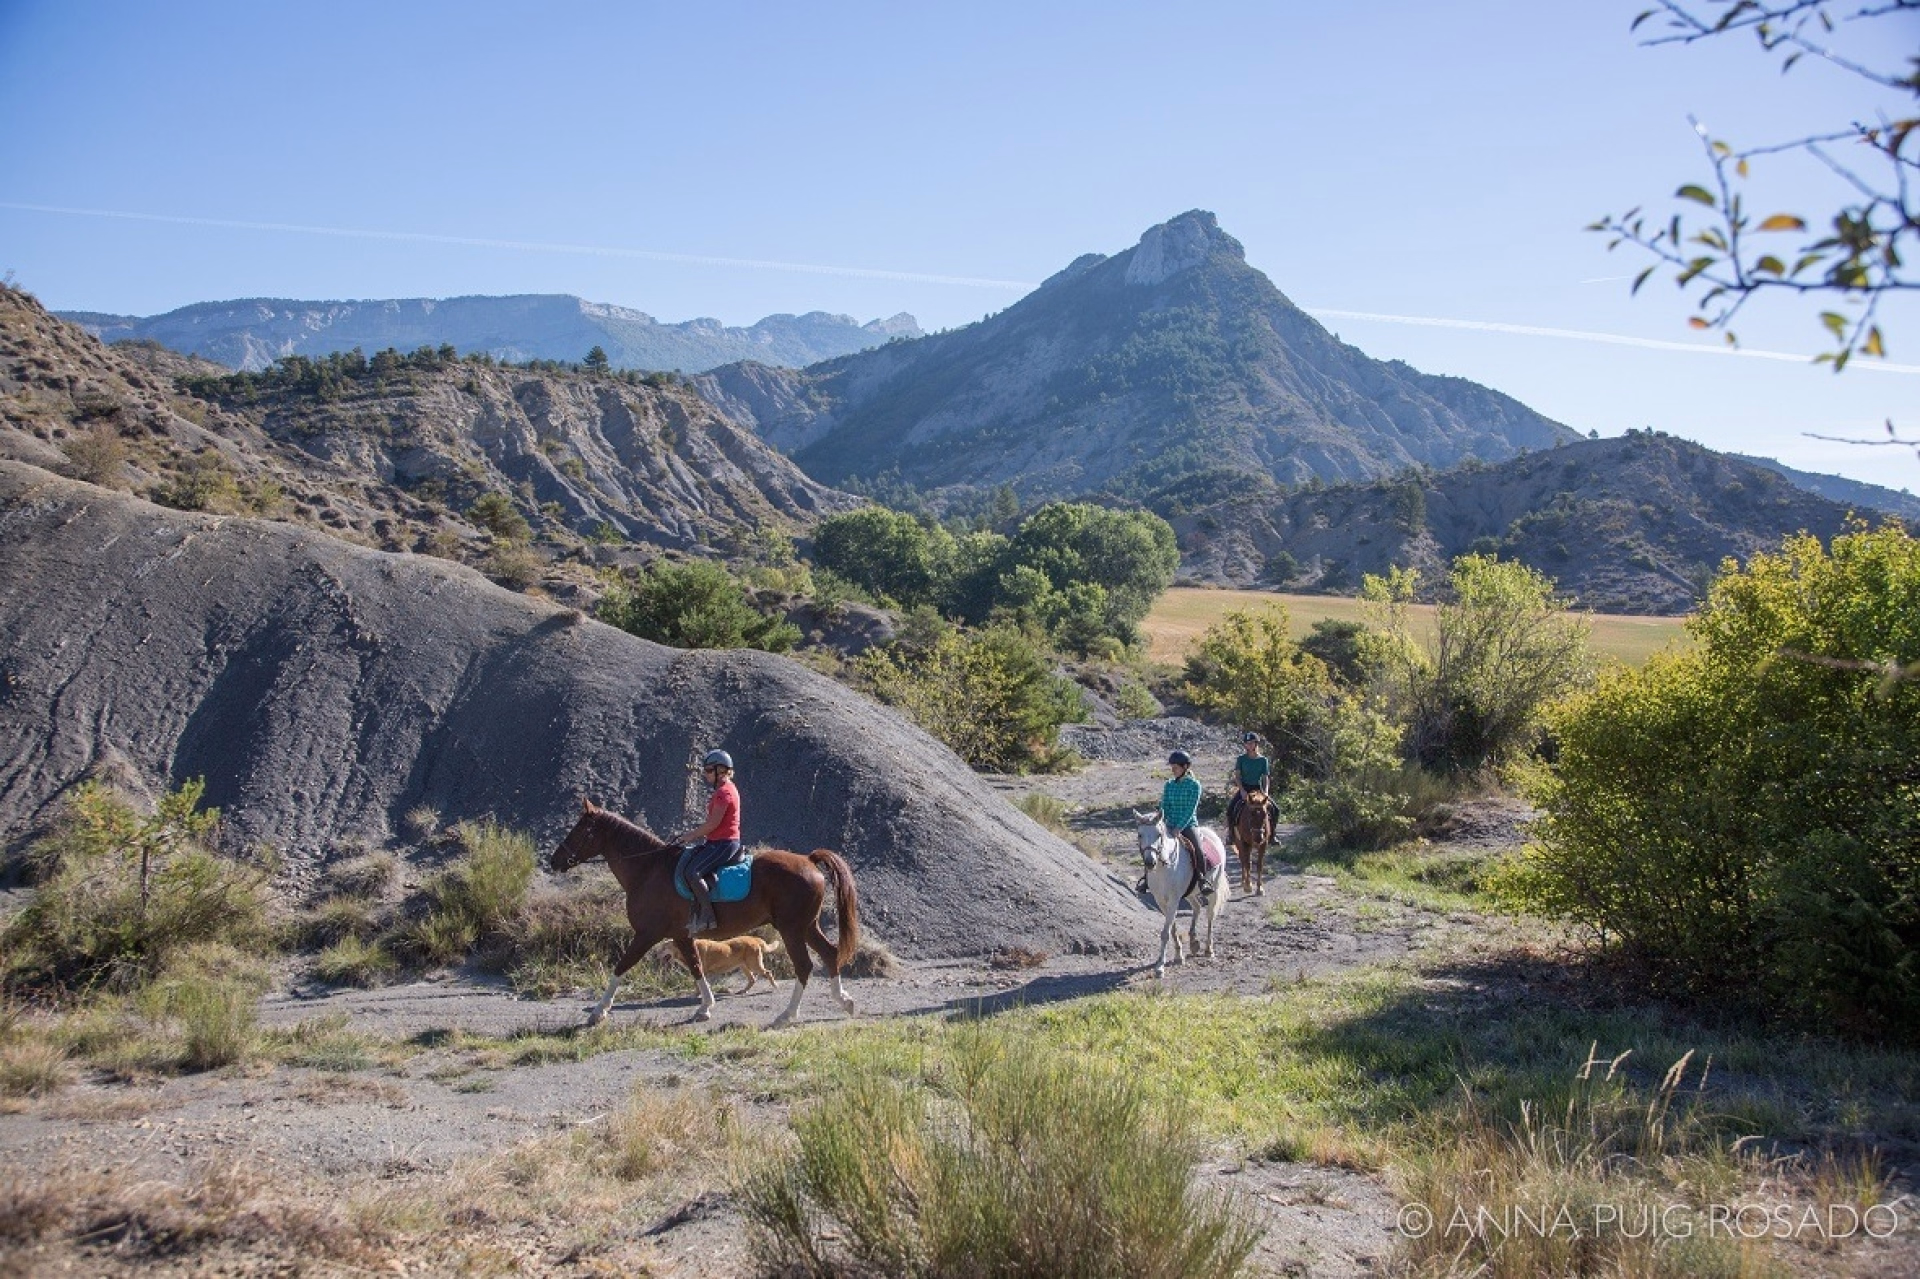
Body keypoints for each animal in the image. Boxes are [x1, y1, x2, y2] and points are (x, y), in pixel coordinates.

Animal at [548, 798, 860, 1029]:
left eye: (579, 831)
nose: (554, 861)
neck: (648, 869)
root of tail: (808, 859)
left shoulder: (647, 933)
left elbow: (622, 966)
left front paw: (598, 1011)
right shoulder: (681, 935)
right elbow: (696, 966)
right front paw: (705, 1008)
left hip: (791, 928)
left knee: (804, 965)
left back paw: (787, 1016)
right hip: (806, 926)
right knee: (830, 954)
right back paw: (844, 1001)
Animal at [1133, 810, 1228, 977]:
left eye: (1159, 834)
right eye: (1140, 834)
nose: (1150, 862)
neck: (1164, 868)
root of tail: (1212, 834)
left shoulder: (1173, 900)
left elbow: (1165, 932)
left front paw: (1160, 966)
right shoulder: (1161, 901)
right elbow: (1172, 929)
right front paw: (1178, 955)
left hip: (1214, 891)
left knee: (1210, 916)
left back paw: (1208, 950)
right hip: (1189, 894)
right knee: (1197, 907)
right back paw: (1194, 941)